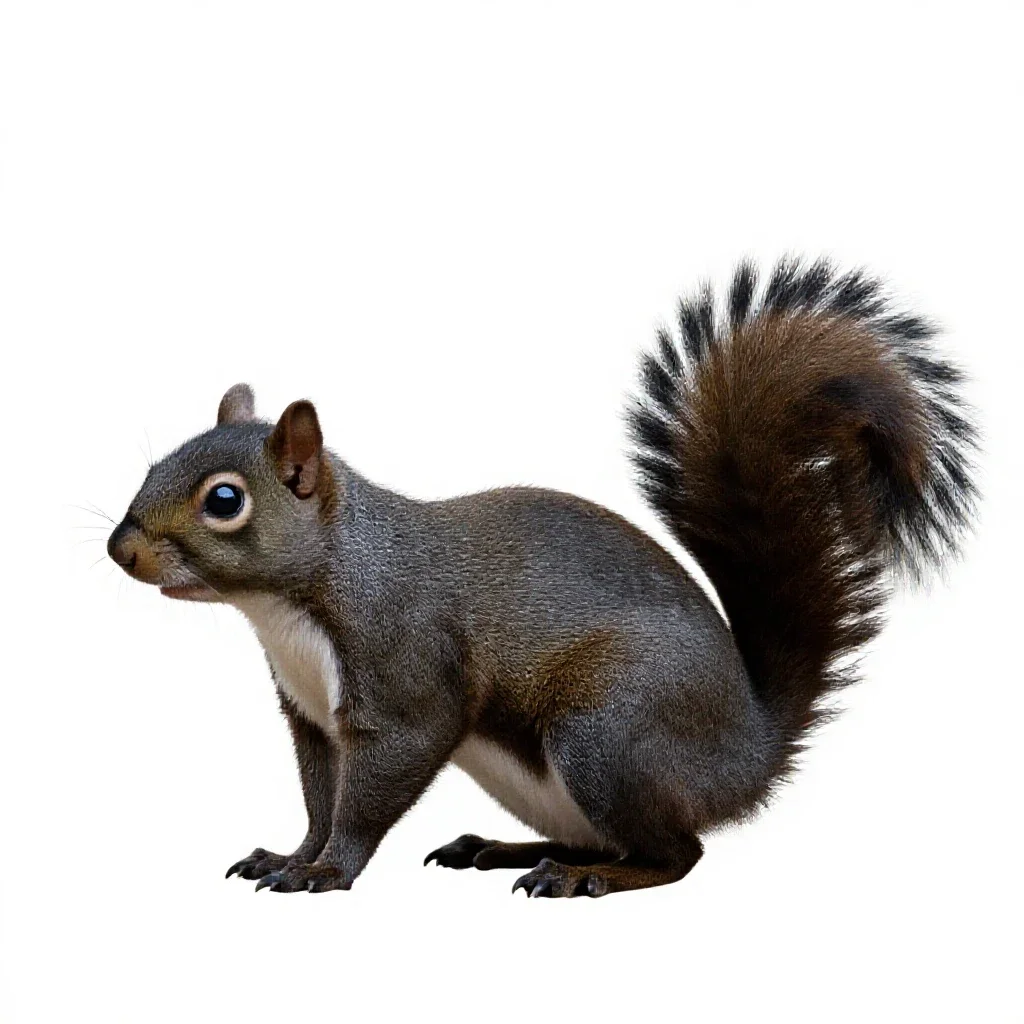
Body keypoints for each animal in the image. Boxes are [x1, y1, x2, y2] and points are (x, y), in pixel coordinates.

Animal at [107, 258, 977, 898]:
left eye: (225, 500)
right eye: (152, 466)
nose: (123, 551)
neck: (293, 605)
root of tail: (746, 756)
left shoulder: (405, 669)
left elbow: (376, 784)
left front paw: (326, 871)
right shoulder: (311, 718)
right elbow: (320, 796)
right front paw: (291, 856)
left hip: (609, 732)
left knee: (677, 853)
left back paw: (584, 877)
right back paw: (503, 849)